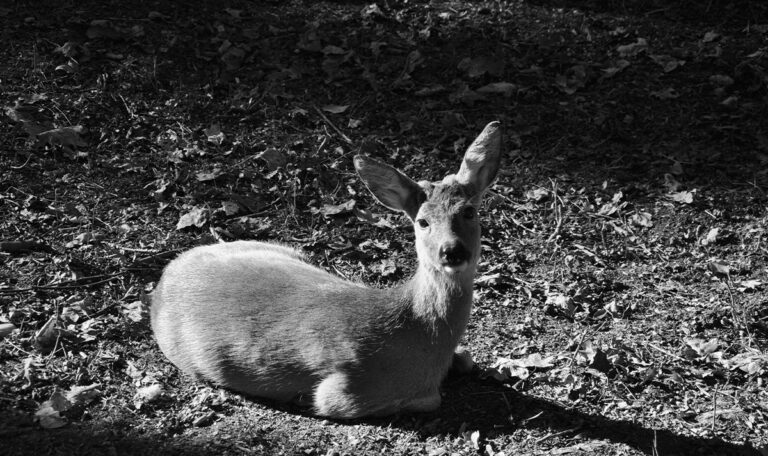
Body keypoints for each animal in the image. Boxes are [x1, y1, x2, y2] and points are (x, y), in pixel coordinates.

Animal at [150, 121, 502, 419]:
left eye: (469, 211)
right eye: (422, 221)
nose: (452, 251)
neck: (421, 335)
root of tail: (166, 275)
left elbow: (466, 358)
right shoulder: (343, 392)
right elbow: (431, 399)